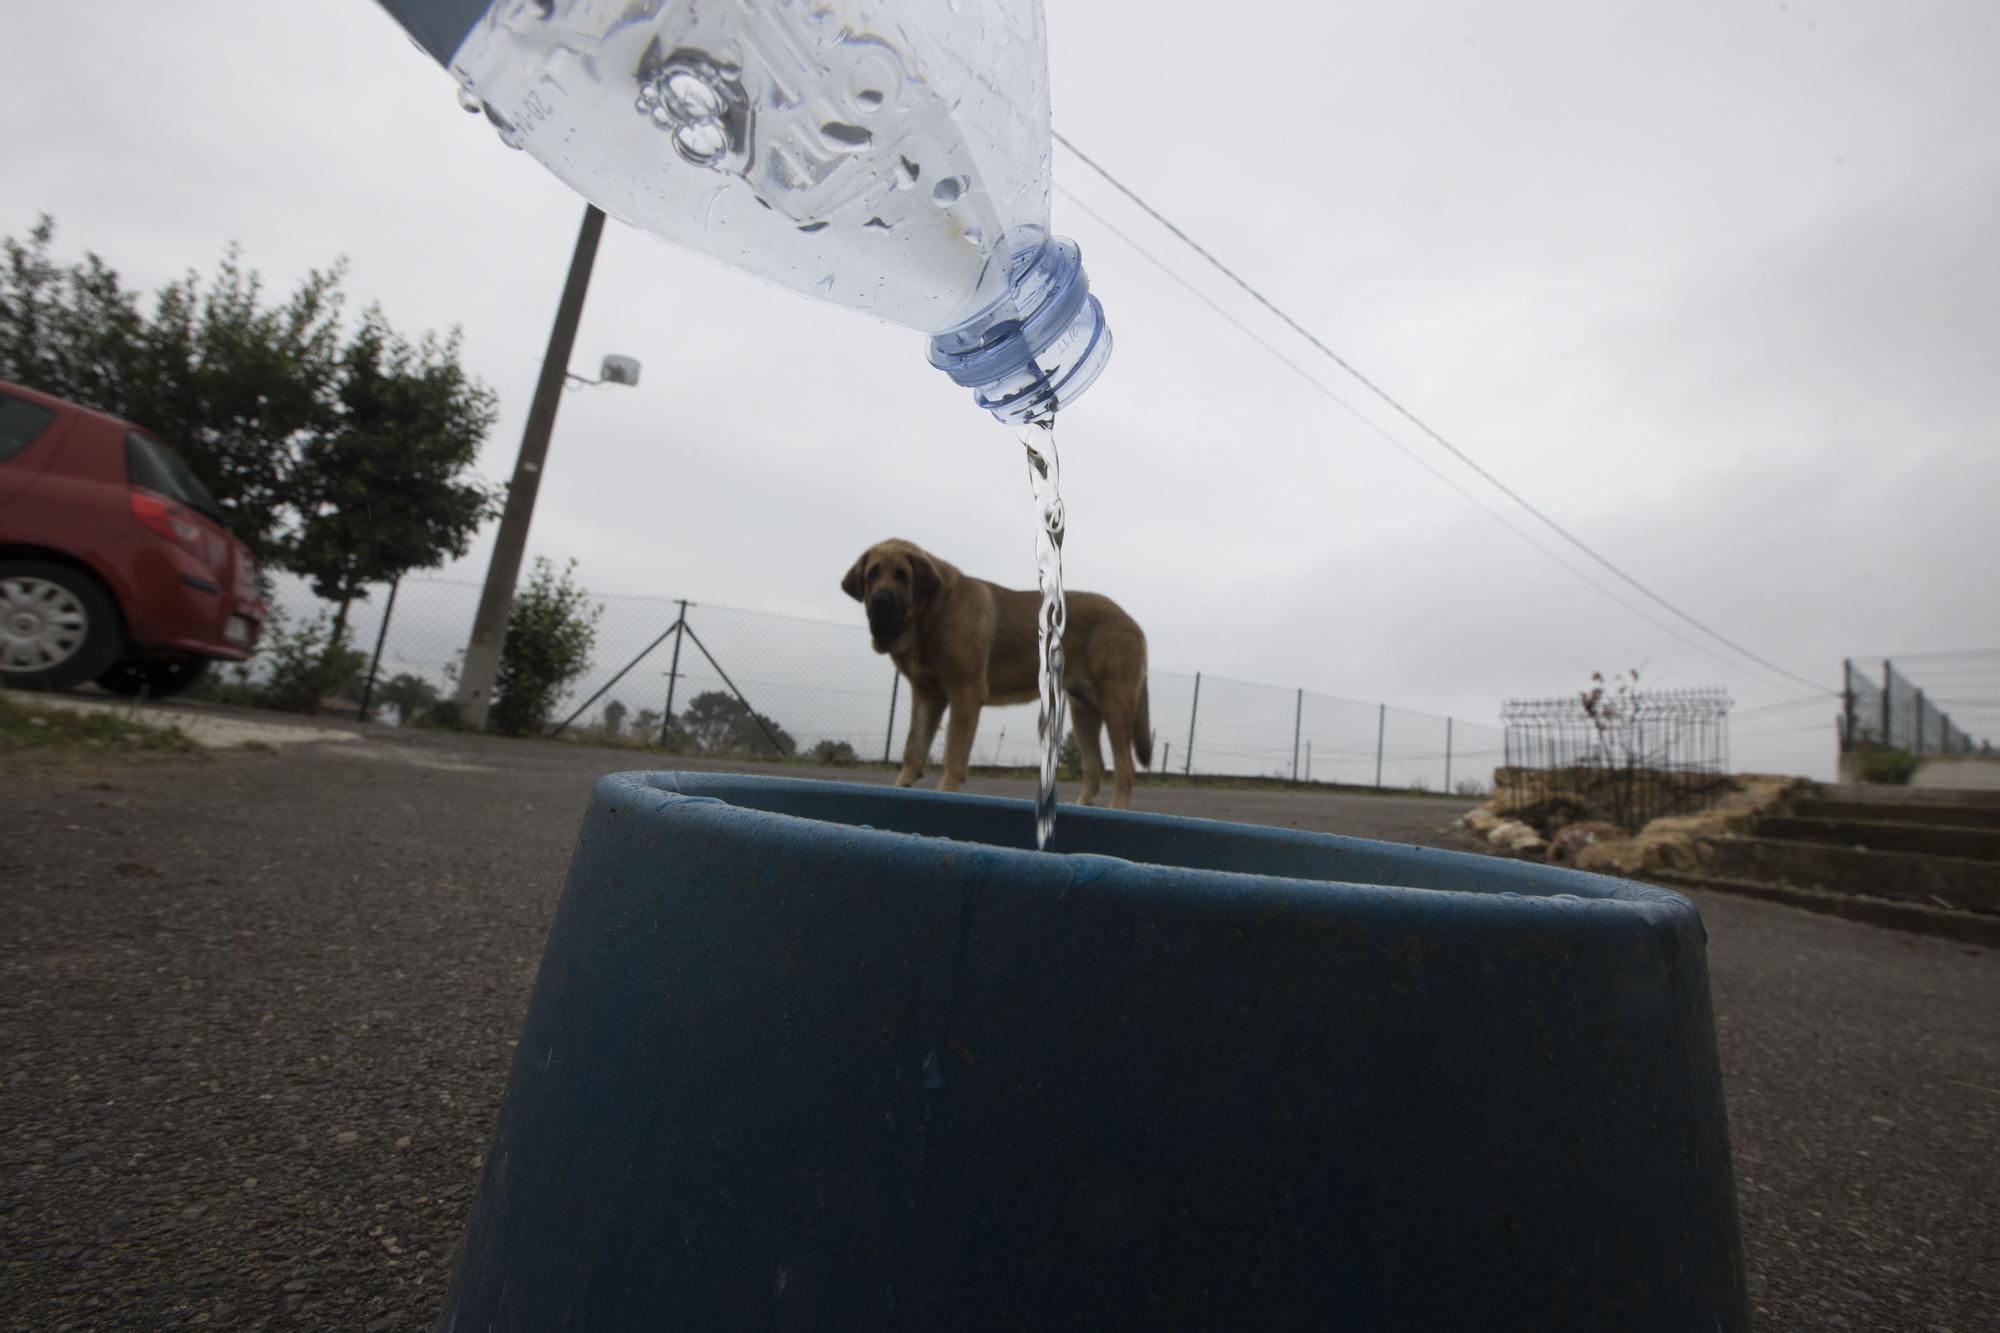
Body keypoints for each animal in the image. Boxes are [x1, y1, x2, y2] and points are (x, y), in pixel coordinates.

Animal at [844, 536, 1160, 804]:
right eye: (872, 574)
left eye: (902, 575)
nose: (881, 601)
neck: (933, 610)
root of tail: (1134, 624)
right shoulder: (927, 697)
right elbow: (914, 747)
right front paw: (901, 787)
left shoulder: (965, 695)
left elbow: (954, 754)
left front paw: (946, 791)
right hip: (1083, 711)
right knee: (1095, 768)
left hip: (1114, 706)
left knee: (1125, 769)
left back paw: (1117, 808)